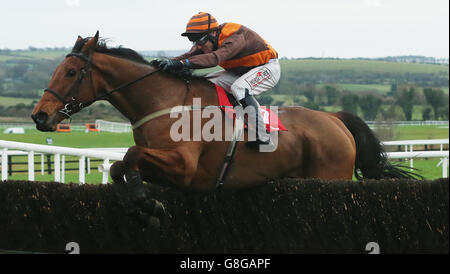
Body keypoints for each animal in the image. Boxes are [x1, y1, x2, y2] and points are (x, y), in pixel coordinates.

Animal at [30, 32, 418, 225]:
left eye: (70, 72)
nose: (39, 116)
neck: (163, 100)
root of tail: (336, 119)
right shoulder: (165, 169)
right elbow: (119, 167)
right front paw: (142, 207)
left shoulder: (186, 168)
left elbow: (132, 154)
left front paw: (147, 205)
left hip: (330, 178)